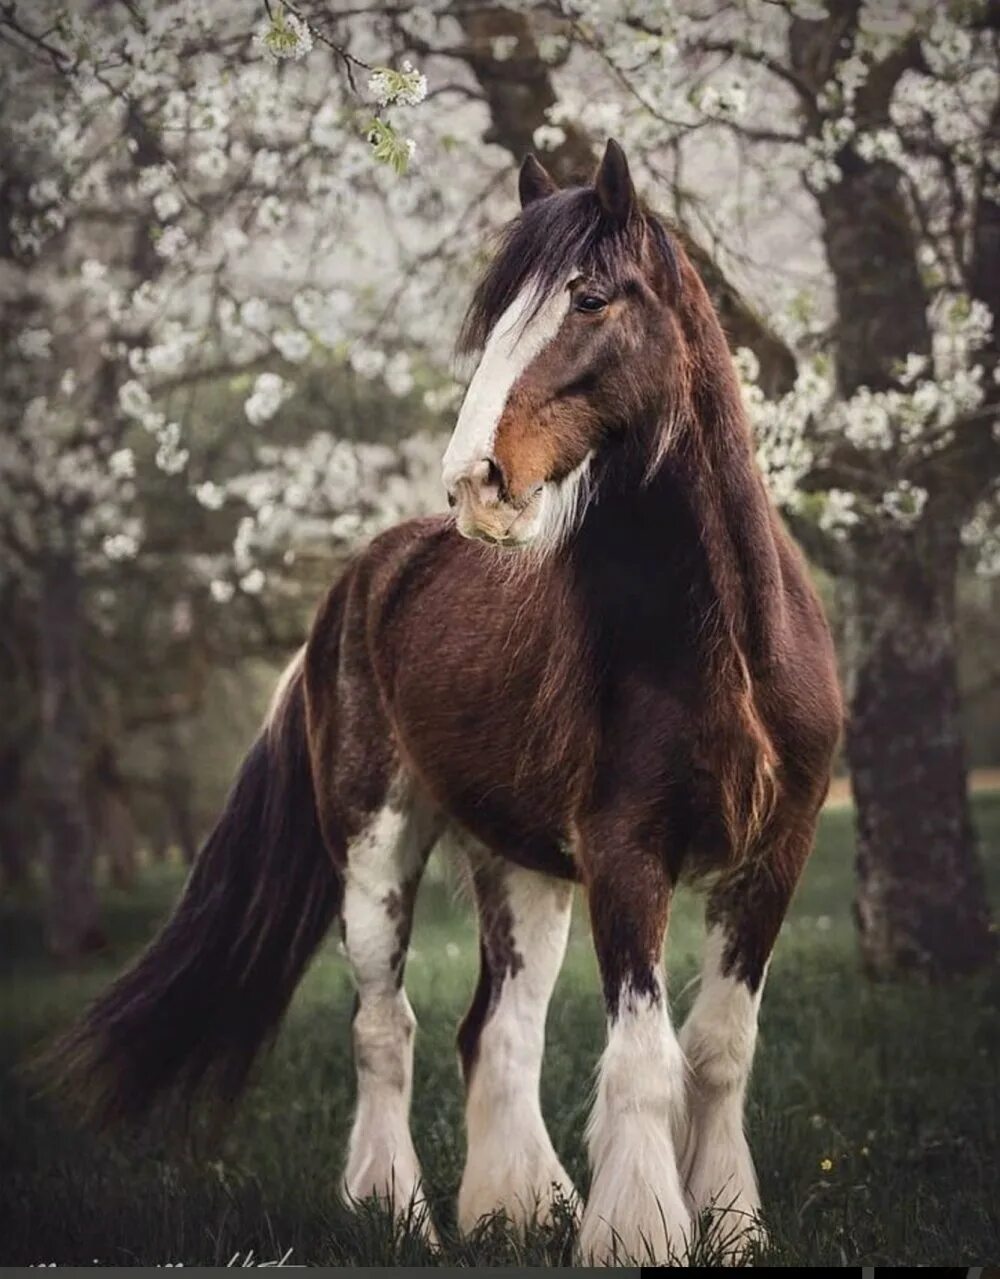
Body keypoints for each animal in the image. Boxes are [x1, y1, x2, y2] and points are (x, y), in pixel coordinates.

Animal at [50, 140, 843, 1258]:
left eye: (589, 297)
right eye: (496, 312)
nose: (476, 481)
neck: (724, 647)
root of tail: (359, 580)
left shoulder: (775, 853)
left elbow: (720, 1047)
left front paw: (726, 1224)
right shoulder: (627, 853)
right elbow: (643, 1059)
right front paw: (640, 1233)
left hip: (524, 867)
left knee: (496, 1032)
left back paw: (520, 1209)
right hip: (377, 846)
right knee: (387, 1029)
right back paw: (397, 1213)